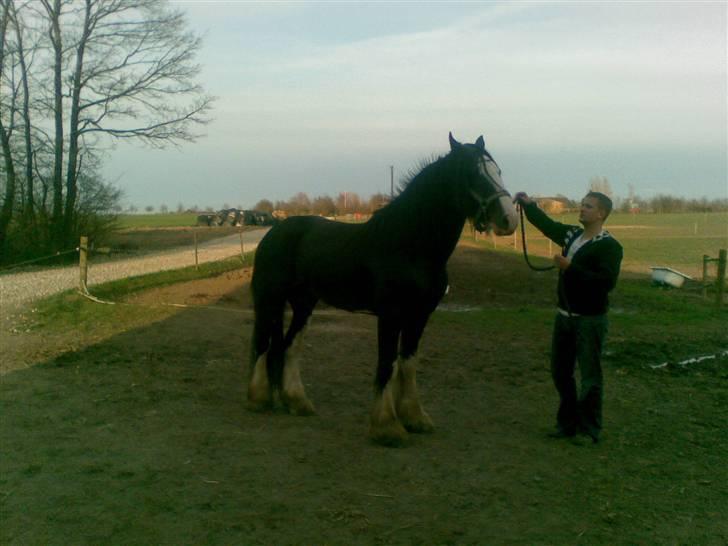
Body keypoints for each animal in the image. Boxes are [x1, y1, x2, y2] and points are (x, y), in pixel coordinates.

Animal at [247, 134, 520, 444]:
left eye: (498, 171)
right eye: (472, 173)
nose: (509, 219)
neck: (409, 245)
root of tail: (274, 232)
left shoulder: (420, 315)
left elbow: (408, 362)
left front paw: (414, 418)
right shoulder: (391, 315)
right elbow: (387, 362)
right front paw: (387, 426)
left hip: (304, 303)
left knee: (289, 345)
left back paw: (297, 402)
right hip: (270, 299)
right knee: (263, 343)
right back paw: (258, 399)